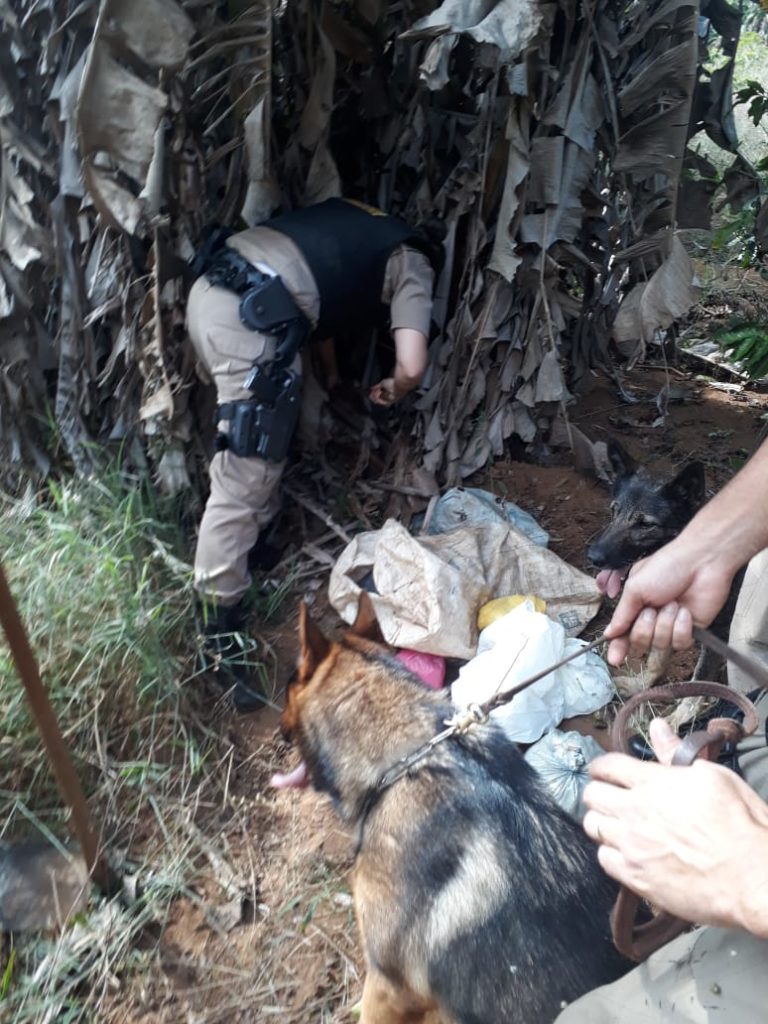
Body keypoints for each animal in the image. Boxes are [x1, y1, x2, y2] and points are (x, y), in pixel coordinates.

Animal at [588, 439, 743, 686]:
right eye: (614, 511)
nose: (593, 557)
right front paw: (641, 685)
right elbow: (657, 659)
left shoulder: (719, 635)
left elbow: (700, 678)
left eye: (645, 524)